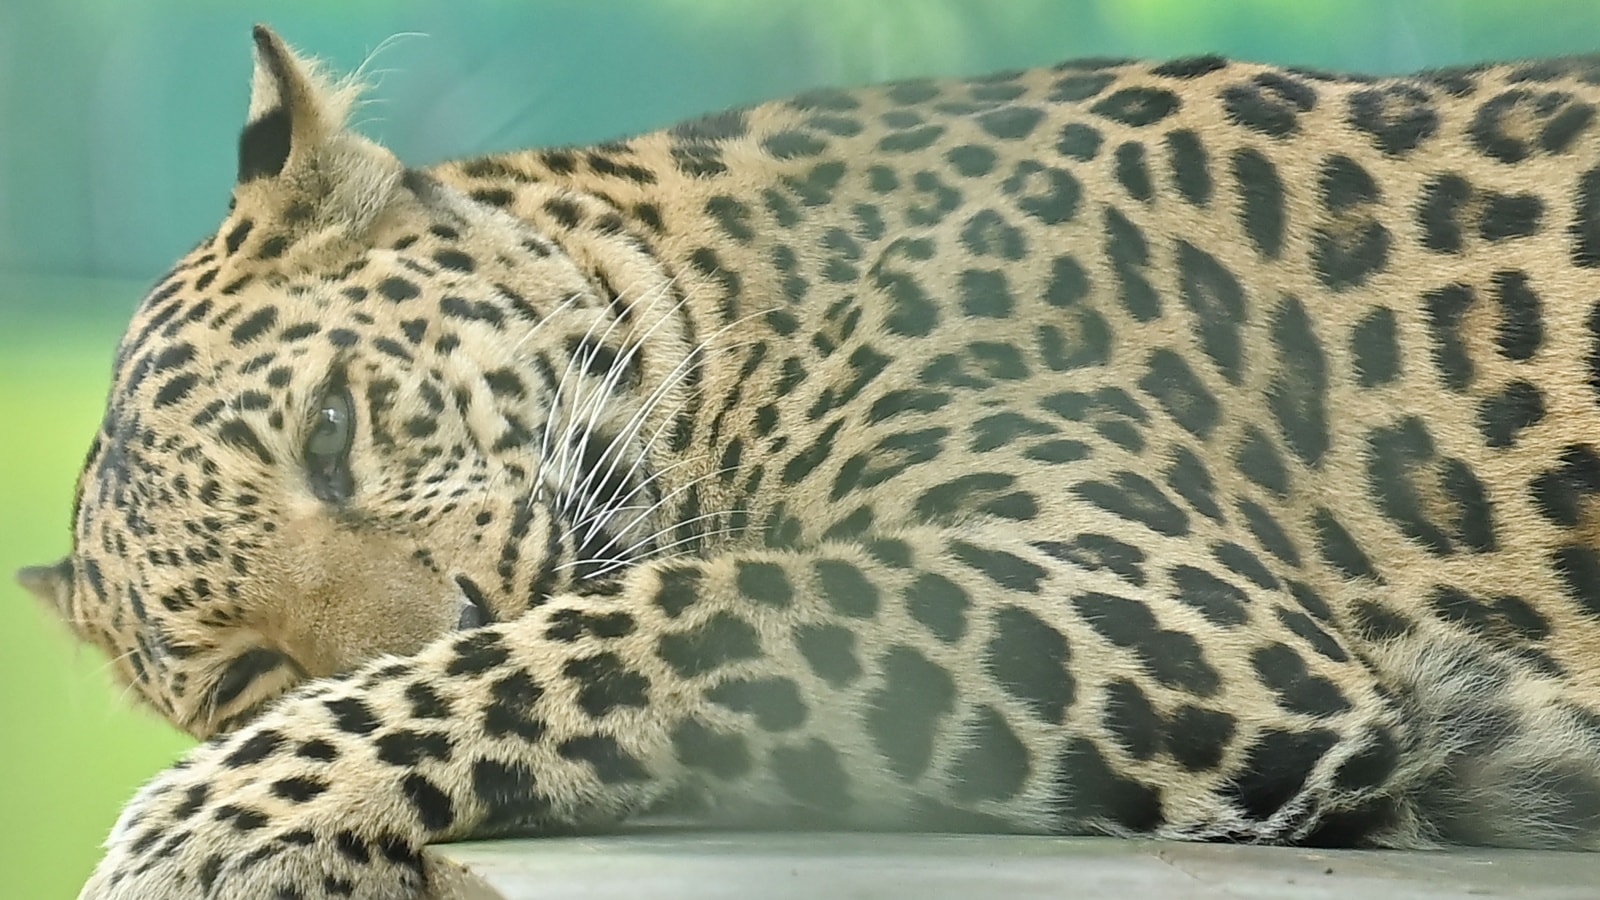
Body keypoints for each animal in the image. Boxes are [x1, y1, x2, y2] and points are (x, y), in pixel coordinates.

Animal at [20, 22, 1600, 900]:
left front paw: (192, 833)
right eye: (242, 671)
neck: (731, 276)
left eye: (335, 432)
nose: (456, 613)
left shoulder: (1141, 583)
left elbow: (655, 619)